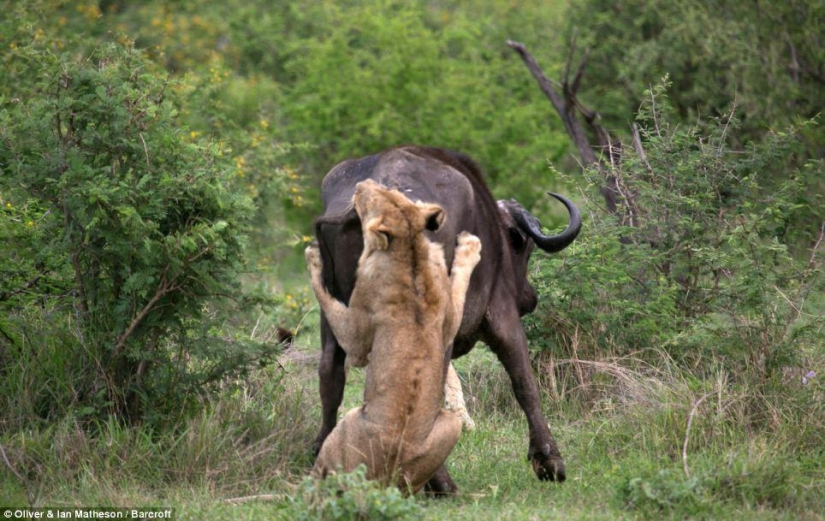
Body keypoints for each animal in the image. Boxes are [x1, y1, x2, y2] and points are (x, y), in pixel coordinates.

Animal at [311, 145, 581, 494]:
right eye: (524, 249)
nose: (529, 298)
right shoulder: (501, 313)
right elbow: (523, 379)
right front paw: (548, 460)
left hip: (334, 316)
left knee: (330, 372)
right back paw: (439, 480)